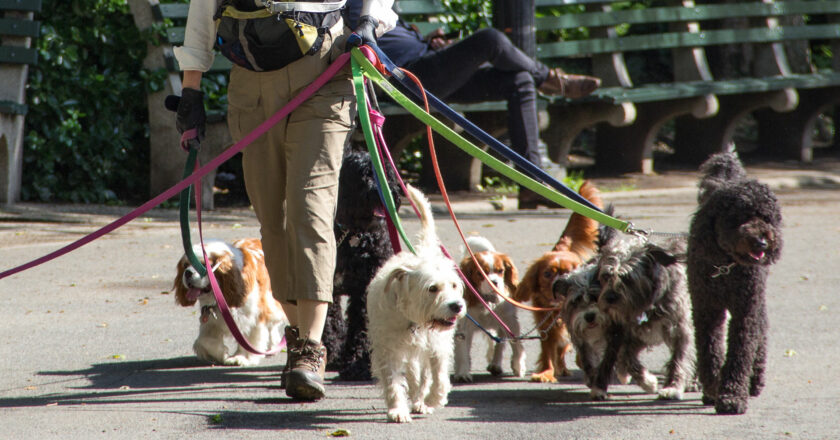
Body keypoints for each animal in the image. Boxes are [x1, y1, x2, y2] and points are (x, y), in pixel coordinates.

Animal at [368, 183, 470, 422]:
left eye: (453, 285)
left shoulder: (437, 346)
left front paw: (432, 400)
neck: (413, 320)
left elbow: (439, 377)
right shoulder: (388, 349)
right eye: (432, 288)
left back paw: (420, 400)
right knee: (414, 374)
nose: (456, 306)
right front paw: (397, 409)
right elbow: (393, 381)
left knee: (423, 376)